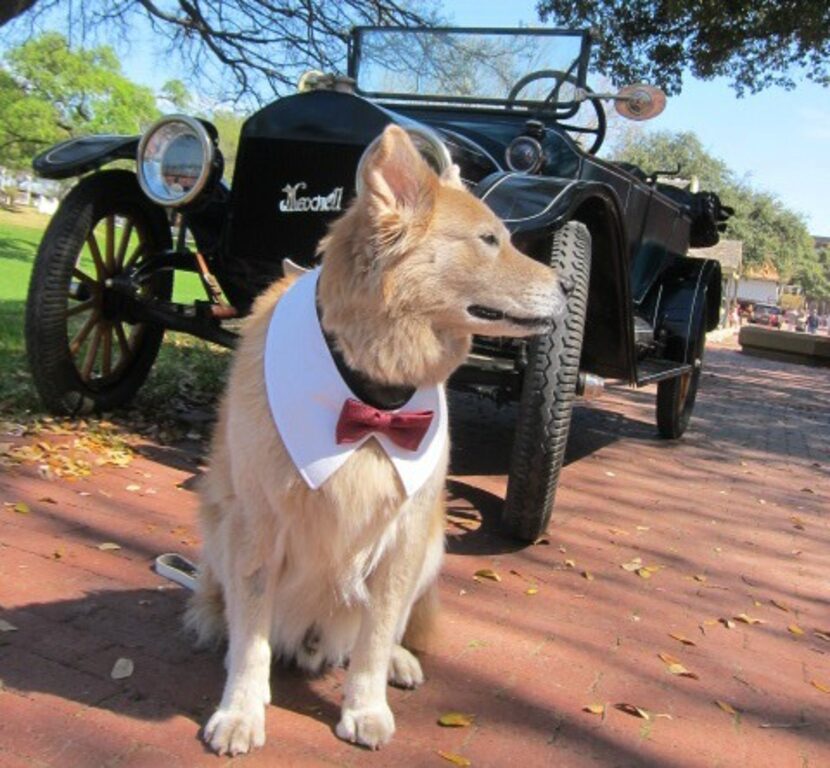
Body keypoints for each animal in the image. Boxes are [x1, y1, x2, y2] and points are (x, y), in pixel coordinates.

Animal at [188, 123, 564, 752]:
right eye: (489, 239)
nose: (569, 287)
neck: (367, 393)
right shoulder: (256, 530)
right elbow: (253, 638)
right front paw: (240, 709)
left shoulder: (404, 538)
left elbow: (375, 634)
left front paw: (365, 706)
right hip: (217, 529)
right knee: (223, 606)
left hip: (432, 548)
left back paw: (399, 663)